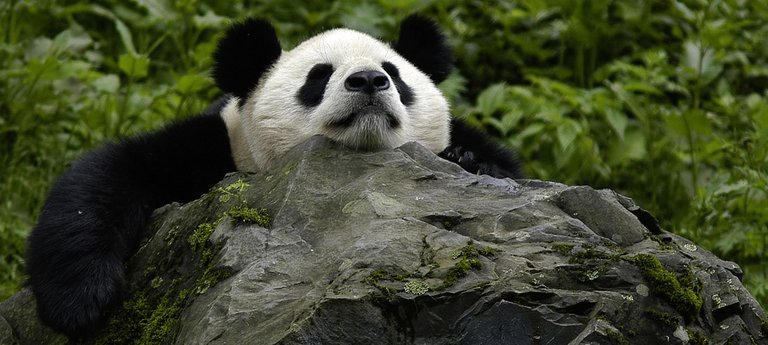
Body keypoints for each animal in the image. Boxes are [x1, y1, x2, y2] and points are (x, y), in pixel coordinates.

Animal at [27, 14, 524, 338]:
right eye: (318, 76)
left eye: (394, 74)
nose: (368, 80)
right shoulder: (218, 145)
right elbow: (110, 175)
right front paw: (81, 301)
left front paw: (470, 160)